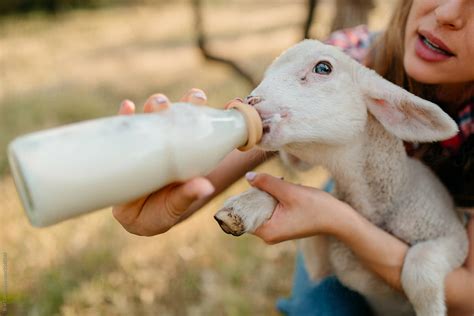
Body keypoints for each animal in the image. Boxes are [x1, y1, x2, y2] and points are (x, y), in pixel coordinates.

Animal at [214, 40, 470, 316]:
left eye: (323, 67)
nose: (249, 101)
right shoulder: (323, 263)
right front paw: (246, 206)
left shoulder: (454, 237)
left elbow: (419, 269)